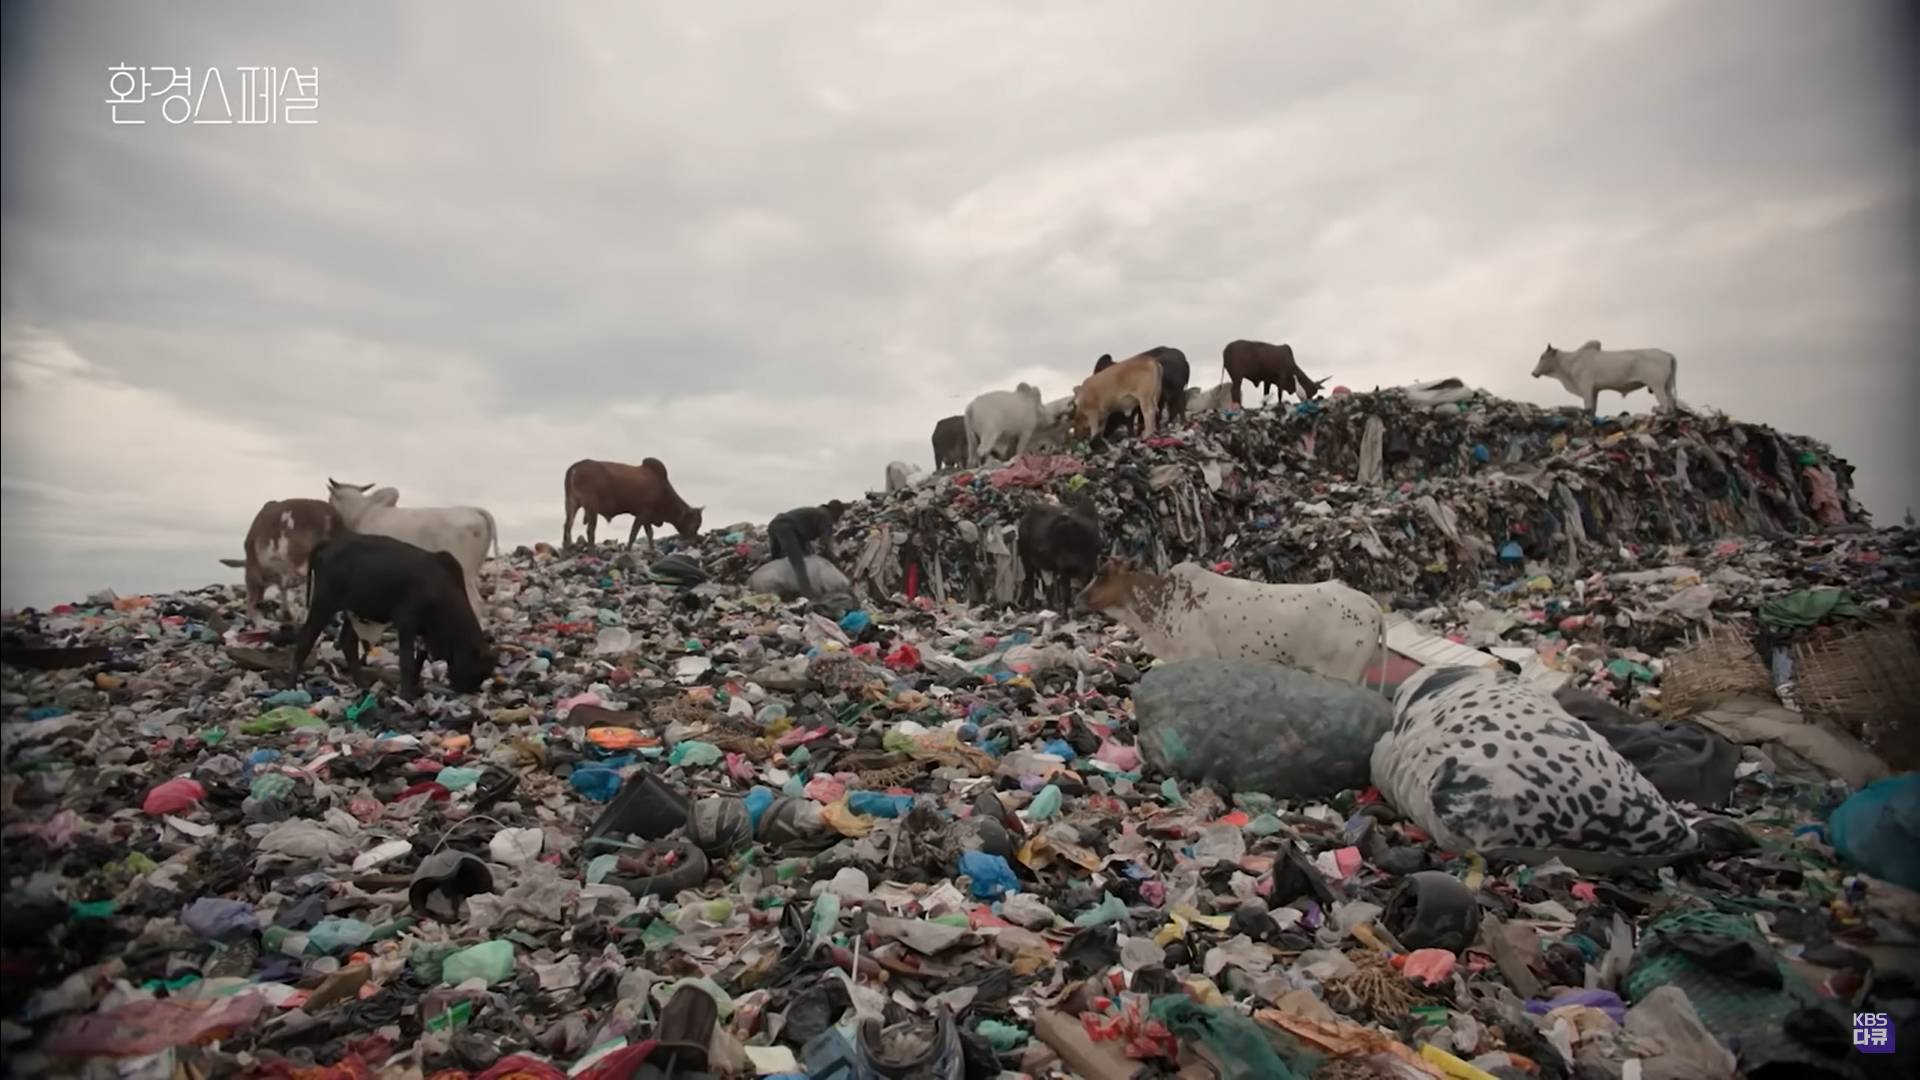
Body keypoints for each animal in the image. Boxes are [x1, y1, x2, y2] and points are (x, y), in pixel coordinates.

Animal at [291, 530, 499, 699]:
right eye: (478, 671)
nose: (468, 691)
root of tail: (329, 543)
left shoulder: (425, 631)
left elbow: (419, 659)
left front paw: (414, 688)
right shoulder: (407, 621)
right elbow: (407, 661)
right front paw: (406, 695)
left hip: (354, 608)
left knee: (348, 643)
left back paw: (363, 686)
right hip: (323, 603)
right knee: (305, 640)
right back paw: (291, 686)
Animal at [560, 457, 706, 549]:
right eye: (694, 523)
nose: (694, 542)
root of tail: (575, 467)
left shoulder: (647, 517)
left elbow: (650, 533)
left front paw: (652, 549)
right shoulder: (642, 513)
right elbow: (634, 533)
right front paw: (628, 550)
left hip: (571, 503)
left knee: (567, 526)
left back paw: (567, 548)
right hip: (591, 506)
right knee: (590, 530)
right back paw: (591, 550)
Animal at [1528, 340, 1681, 411]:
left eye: (1542, 357)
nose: (1533, 373)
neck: (1571, 361)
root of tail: (1667, 354)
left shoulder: (1586, 387)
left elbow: (1588, 407)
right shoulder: (1595, 390)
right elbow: (1593, 409)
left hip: (1657, 386)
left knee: (1664, 403)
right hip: (1666, 386)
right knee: (1671, 402)